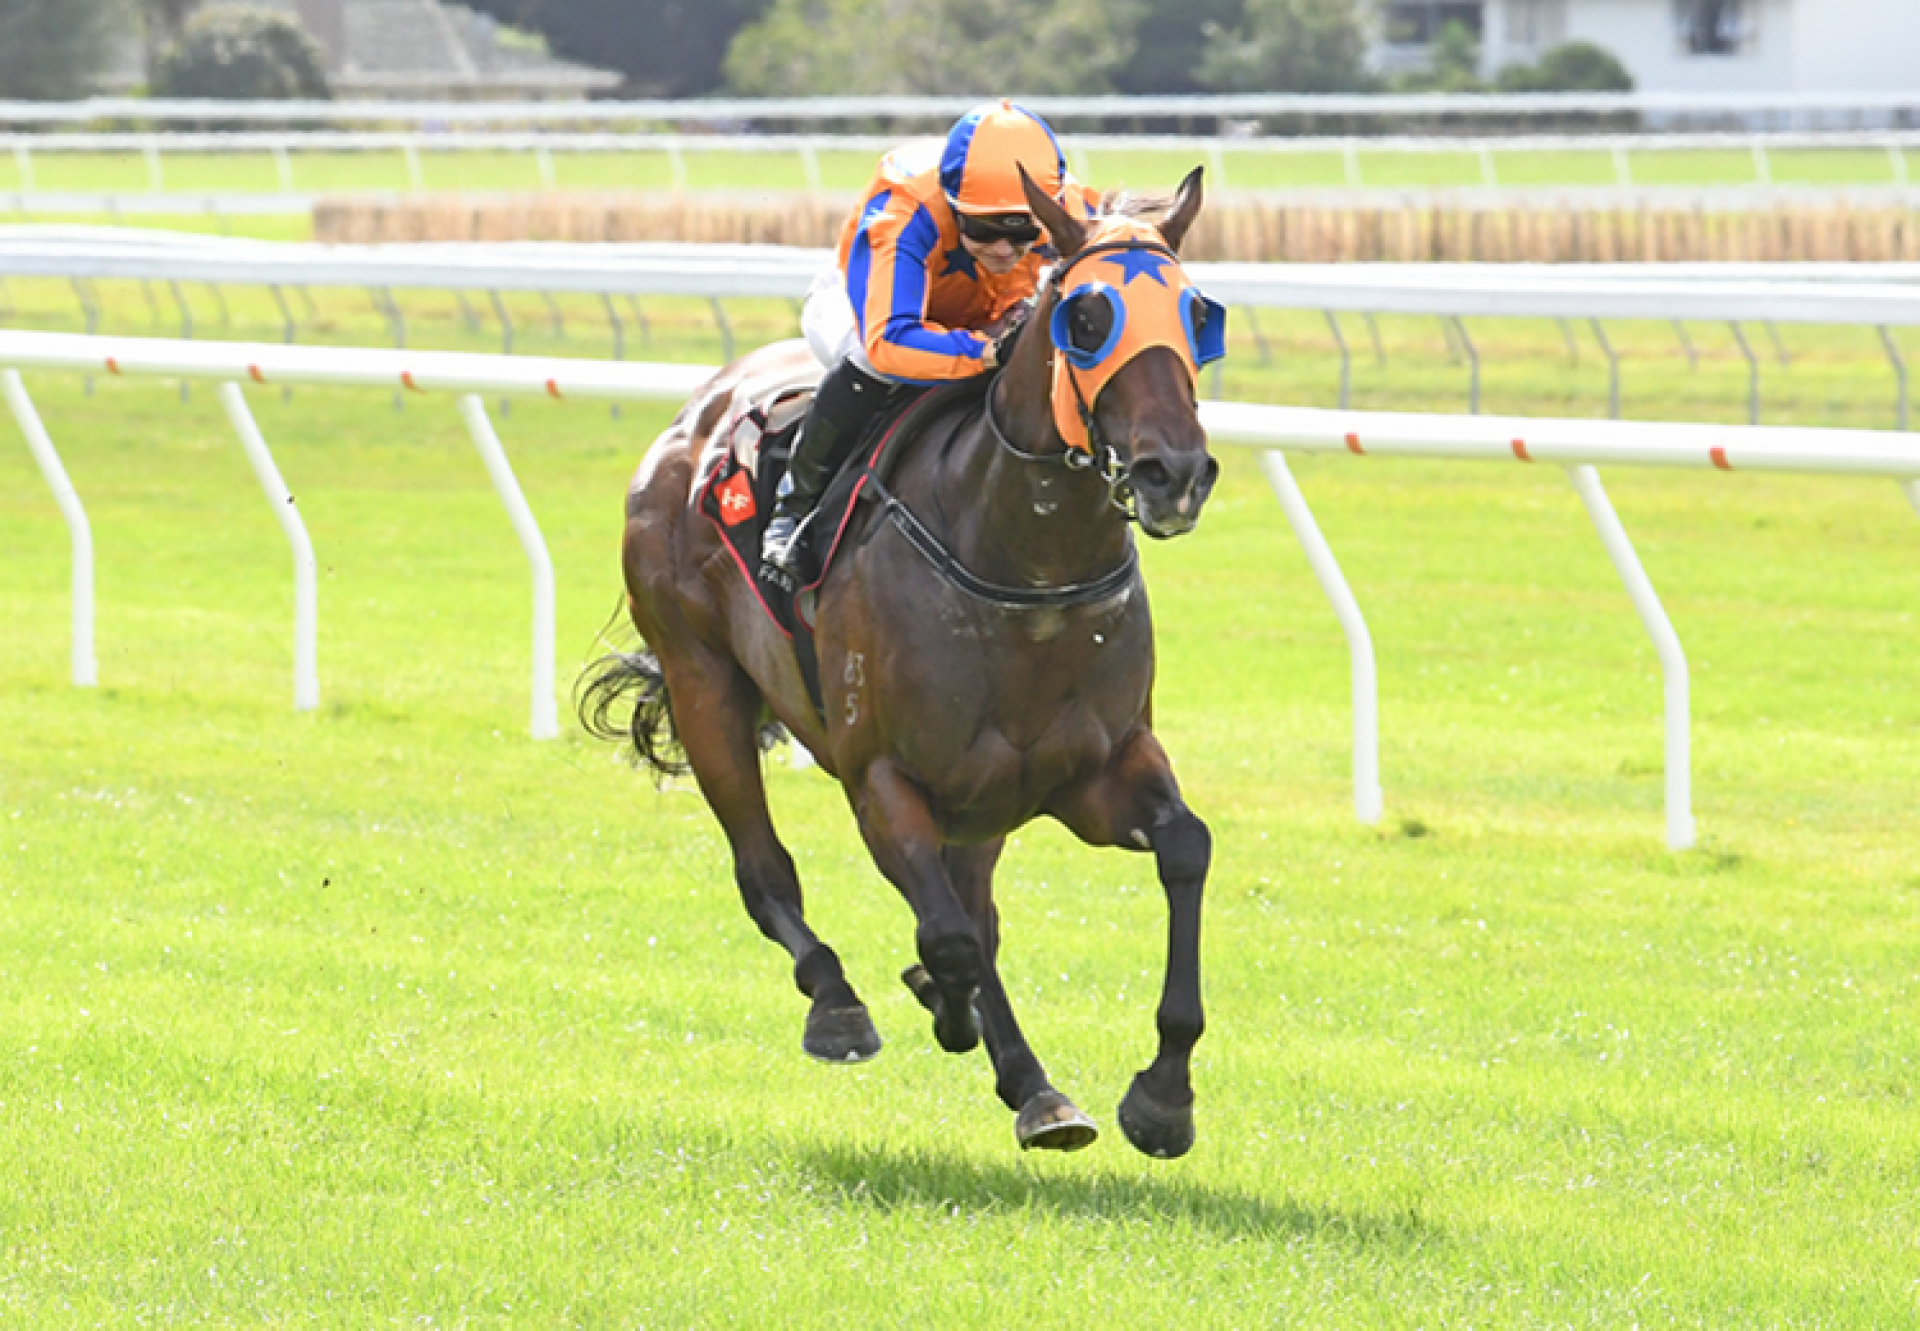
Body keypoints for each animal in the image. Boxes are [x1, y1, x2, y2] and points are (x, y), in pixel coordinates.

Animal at [576, 166, 1221, 1152]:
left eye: (1198, 313)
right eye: (1086, 317)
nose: (1174, 473)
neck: (1021, 564)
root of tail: (695, 414)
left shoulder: (1096, 769)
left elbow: (1184, 846)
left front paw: (1162, 1094)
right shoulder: (881, 778)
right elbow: (949, 939)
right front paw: (966, 1025)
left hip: (987, 798)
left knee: (973, 904)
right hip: (703, 683)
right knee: (768, 871)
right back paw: (844, 1003)